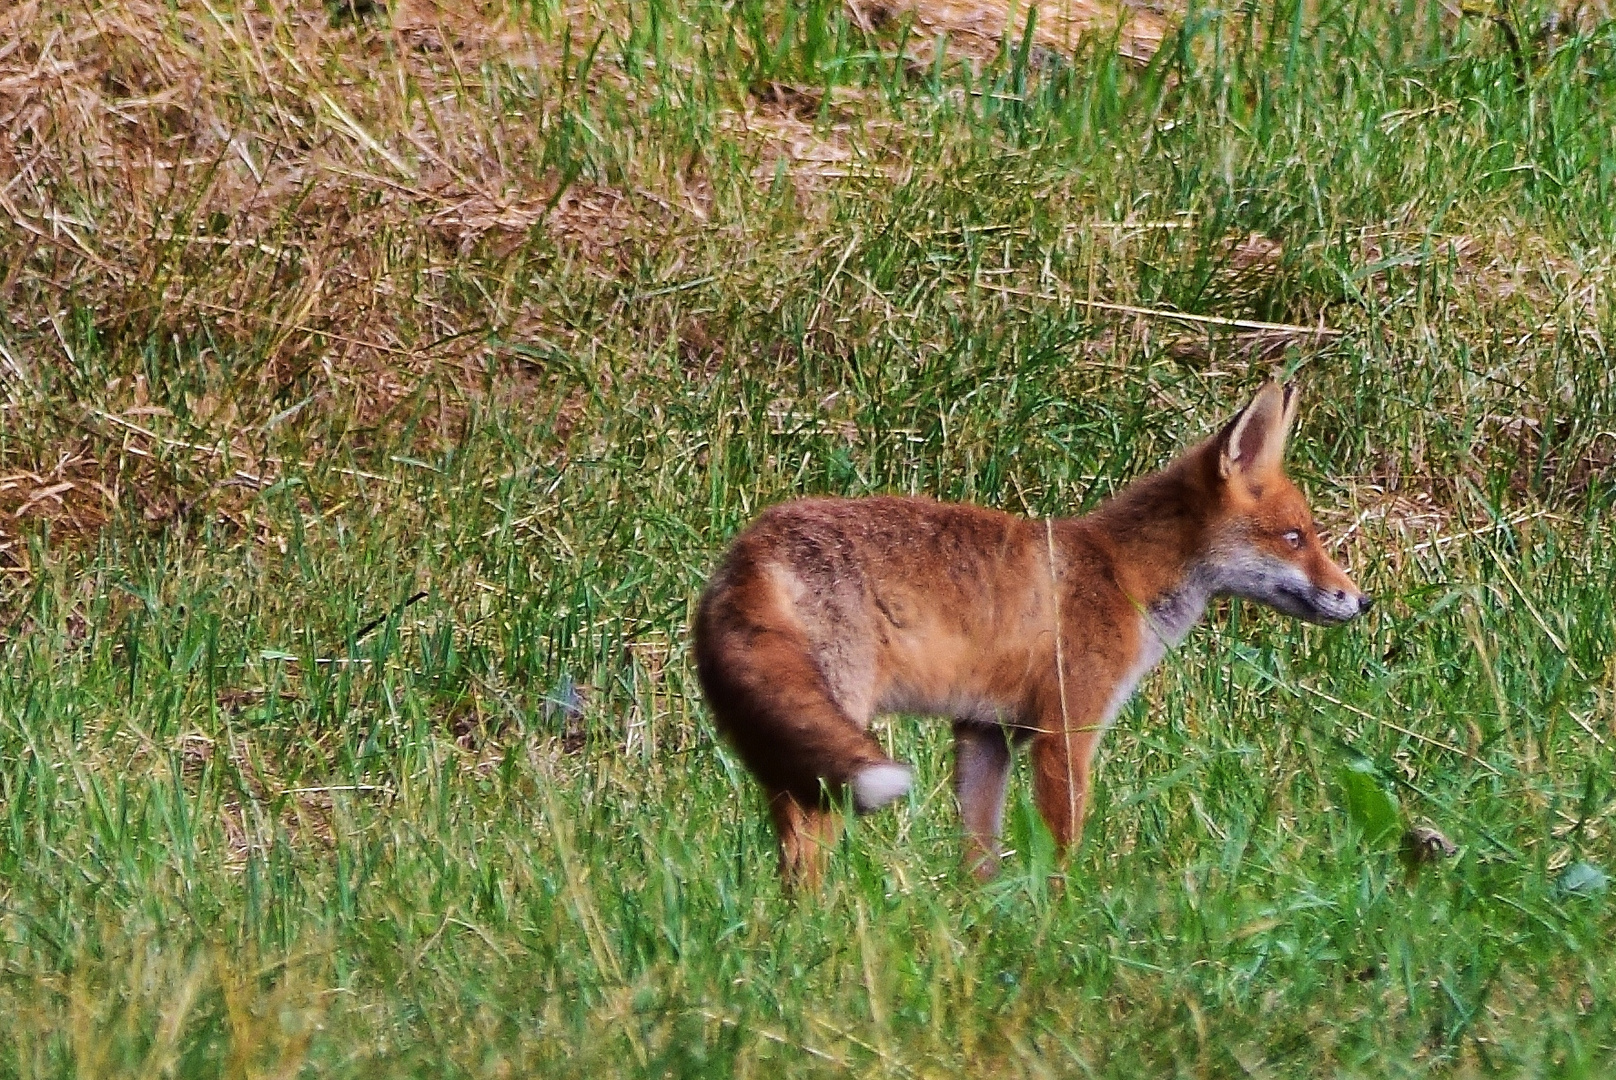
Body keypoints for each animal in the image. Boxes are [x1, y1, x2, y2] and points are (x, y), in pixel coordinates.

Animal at [694, 381, 1376, 885]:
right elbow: (1062, 846)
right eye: (1295, 537)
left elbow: (979, 856)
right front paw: (1063, 920)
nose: (1361, 600)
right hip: (838, 723)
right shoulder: (1066, 730)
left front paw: (980, 930)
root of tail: (751, 544)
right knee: (806, 843)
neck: (1123, 574)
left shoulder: (984, 734)